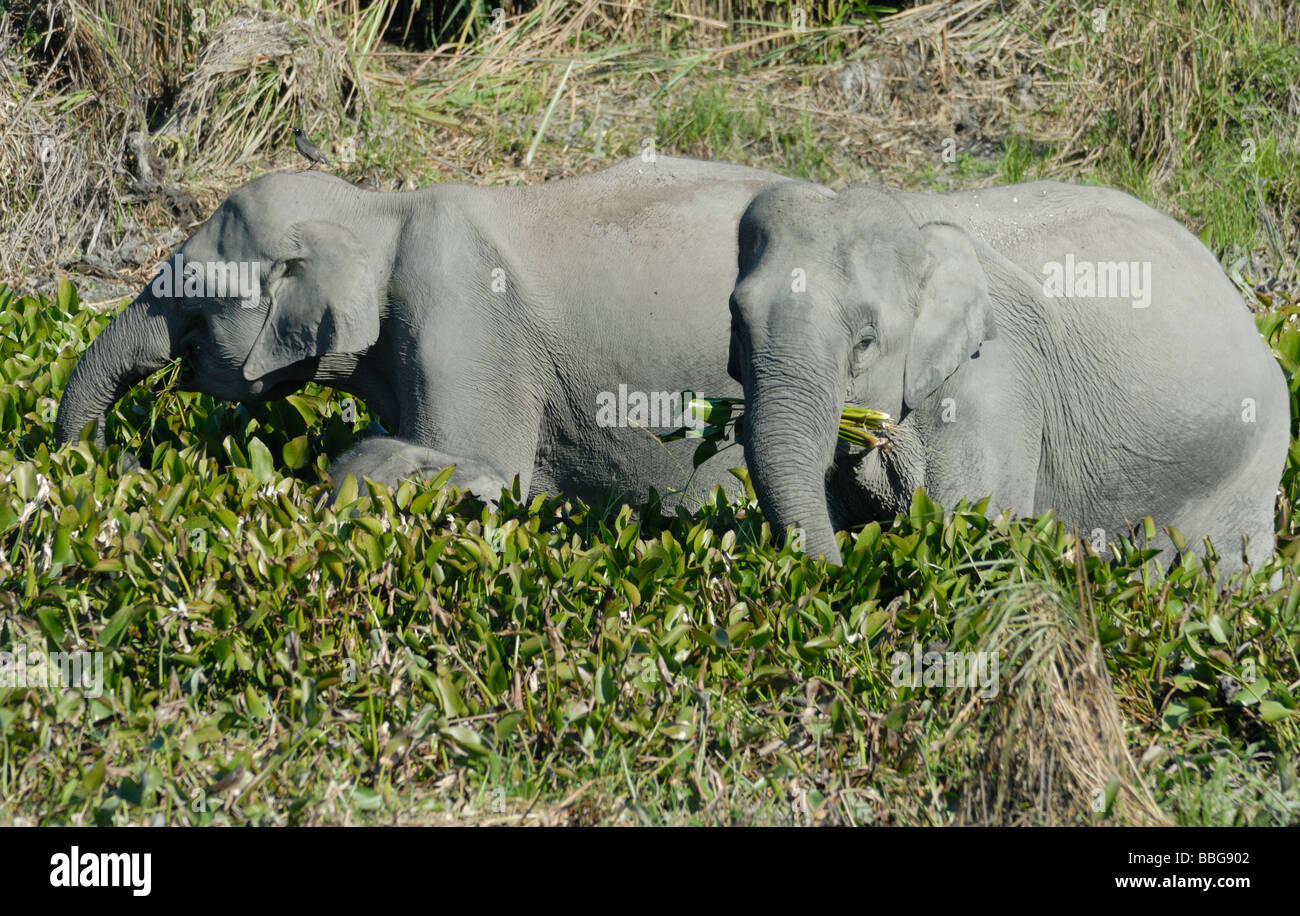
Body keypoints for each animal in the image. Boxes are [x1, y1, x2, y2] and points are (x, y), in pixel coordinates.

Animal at [733, 179, 1289, 571]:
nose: (836, 576)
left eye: (865, 342)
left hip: (1256, 459)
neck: (916, 221)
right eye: (737, 324)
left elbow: (970, 531)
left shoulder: (997, 383)